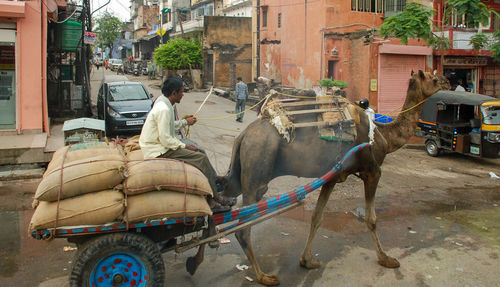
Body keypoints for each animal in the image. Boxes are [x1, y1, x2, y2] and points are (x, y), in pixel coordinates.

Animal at [214, 71, 450, 286]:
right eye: (433, 78)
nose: (449, 81)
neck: (382, 136)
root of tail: (243, 135)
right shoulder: (372, 171)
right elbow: (371, 219)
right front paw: (387, 259)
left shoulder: (332, 177)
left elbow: (317, 217)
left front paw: (307, 260)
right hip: (257, 169)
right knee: (243, 228)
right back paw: (263, 276)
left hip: (241, 172)